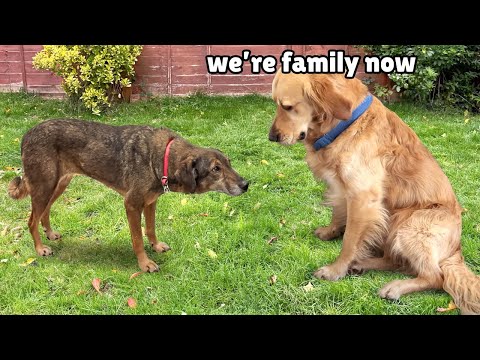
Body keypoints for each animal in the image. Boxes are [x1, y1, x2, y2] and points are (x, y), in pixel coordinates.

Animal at [8, 119, 248, 272]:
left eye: (229, 163)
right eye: (216, 169)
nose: (246, 184)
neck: (162, 156)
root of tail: (27, 135)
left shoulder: (151, 202)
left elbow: (150, 229)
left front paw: (156, 246)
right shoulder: (132, 204)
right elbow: (138, 238)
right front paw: (145, 264)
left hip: (58, 184)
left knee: (45, 212)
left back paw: (49, 234)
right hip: (44, 186)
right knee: (31, 220)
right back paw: (40, 249)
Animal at [270, 71, 480, 314]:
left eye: (287, 106)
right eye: (276, 104)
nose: (271, 137)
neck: (345, 124)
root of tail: (457, 251)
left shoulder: (363, 196)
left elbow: (350, 241)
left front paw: (335, 270)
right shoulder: (341, 187)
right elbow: (338, 213)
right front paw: (331, 232)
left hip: (411, 223)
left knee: (435, 277)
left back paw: (394, 286)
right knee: (396, 261)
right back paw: (362, 264)